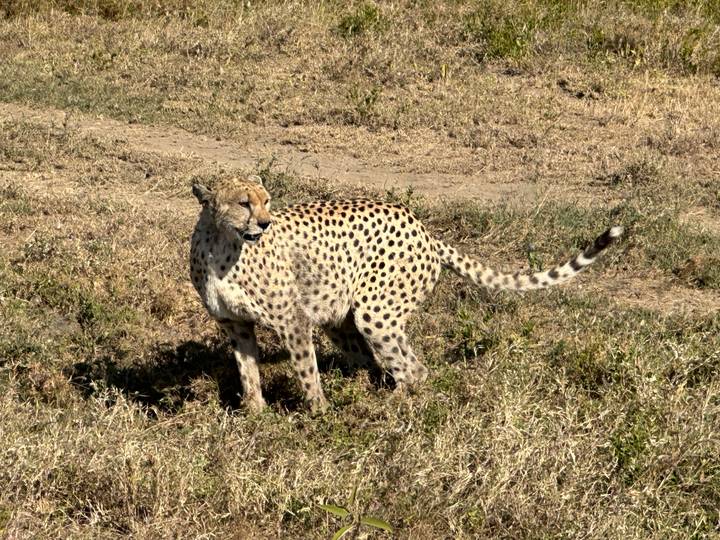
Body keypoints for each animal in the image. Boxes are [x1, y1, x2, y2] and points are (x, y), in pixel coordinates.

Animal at [189, 176, 622, 413]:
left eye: (266, 201)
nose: (264, 223)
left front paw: (319, 413)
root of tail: (422, 227)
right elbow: (247, 371)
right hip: (343, 317)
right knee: (374, 361)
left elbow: (306, 371)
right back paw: (370, 390)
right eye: (244, 203)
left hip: (376, 313)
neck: (221, 244)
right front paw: (255, 413)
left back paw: (393, 405)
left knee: (415, 369)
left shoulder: (291, 320)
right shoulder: (235, 324)